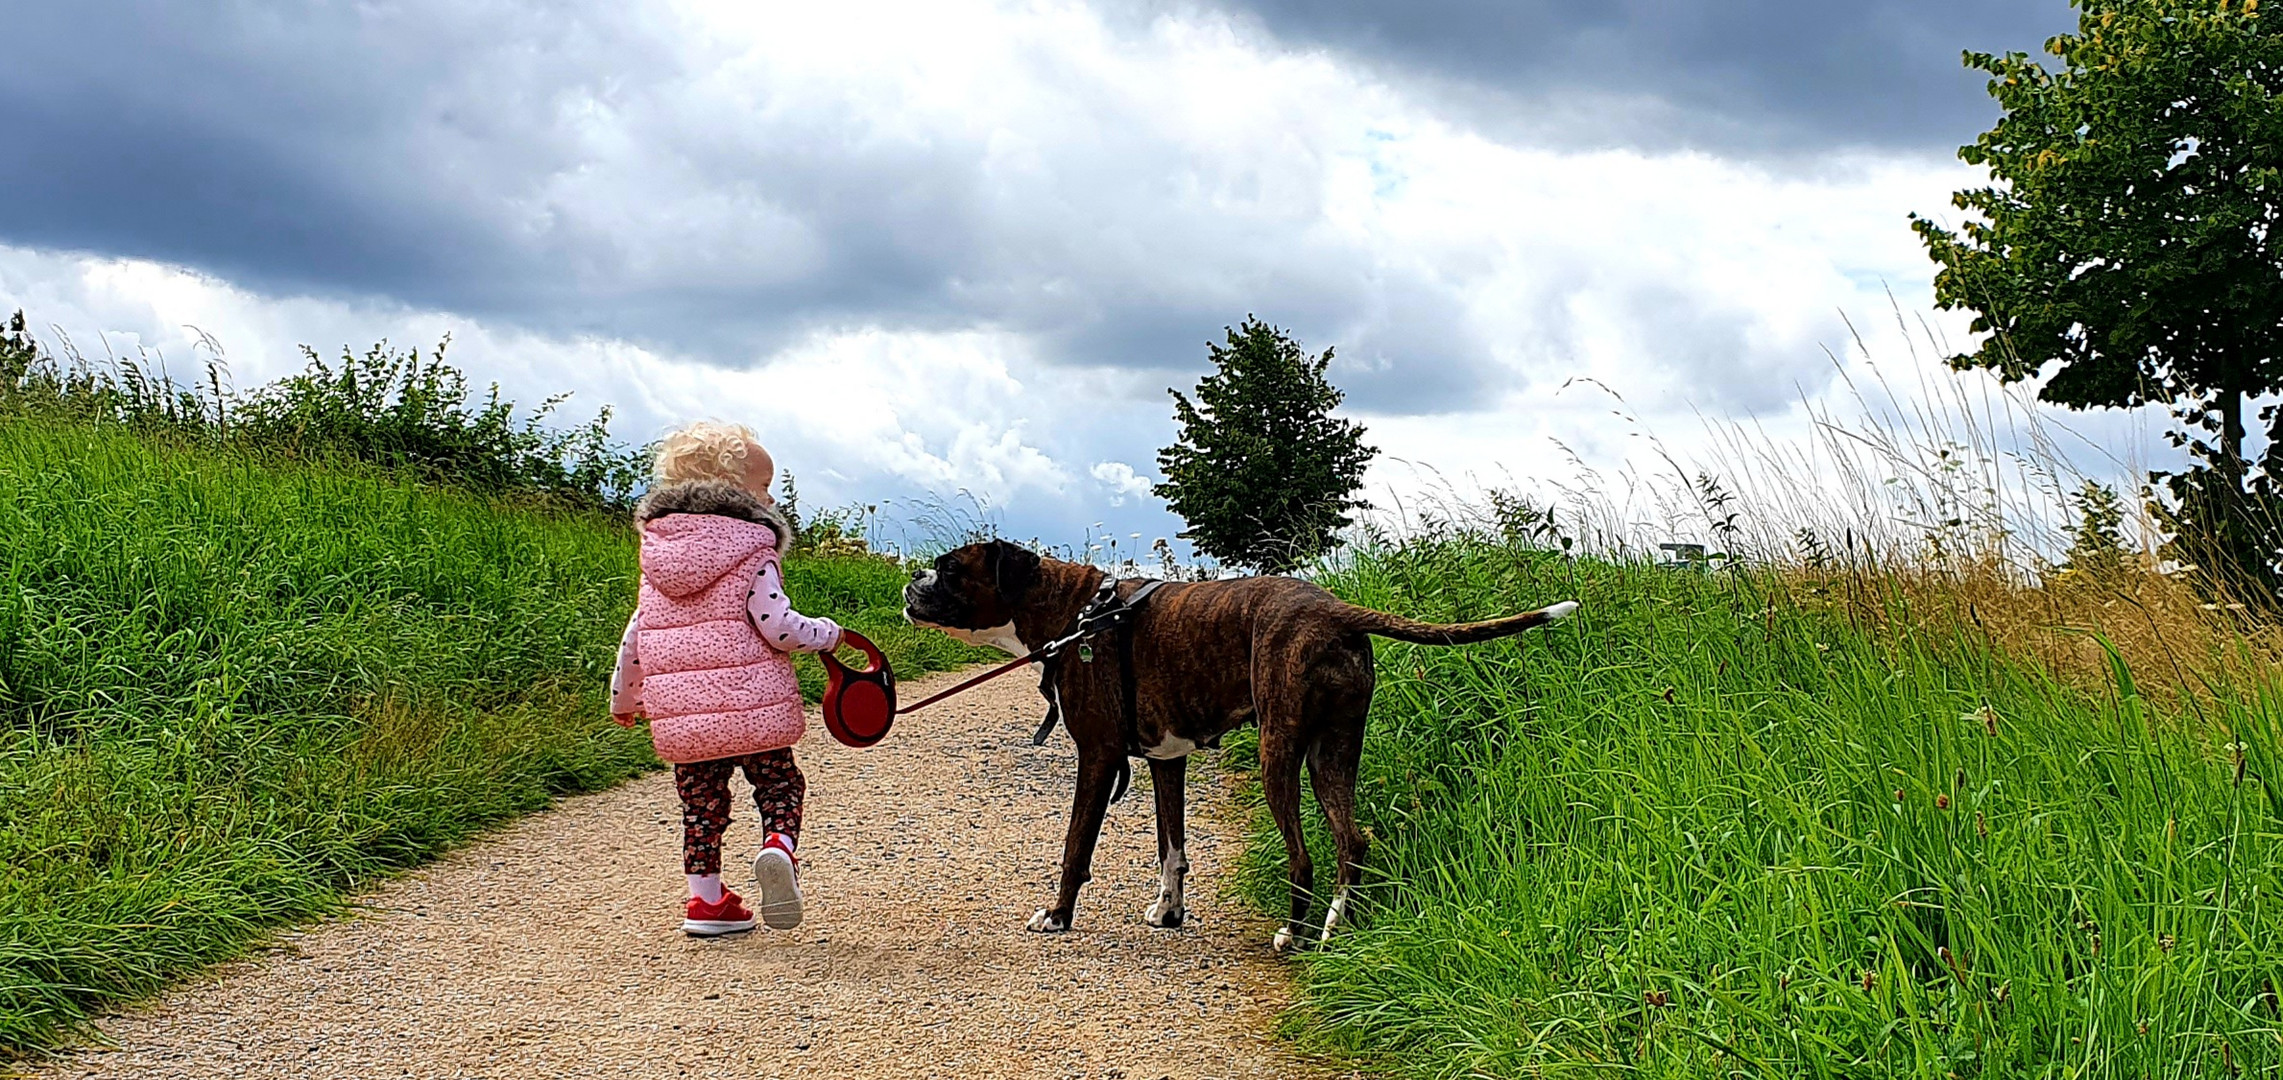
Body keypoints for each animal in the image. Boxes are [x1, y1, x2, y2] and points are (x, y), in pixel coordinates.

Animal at [899, 543, 1579, 945]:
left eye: (951, 568)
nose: (910, 580)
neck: (1075, 611)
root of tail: (1336, 610)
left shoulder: (1097, 758)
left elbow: (1075, 848)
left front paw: (1058, 916)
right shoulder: (1166, 763)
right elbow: (1171, 848)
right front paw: (1169, 911)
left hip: (1280, 755)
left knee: (1302, 856)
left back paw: (1293, 933)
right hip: (1333, 755)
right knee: (1352, 841)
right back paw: (1333, 929)